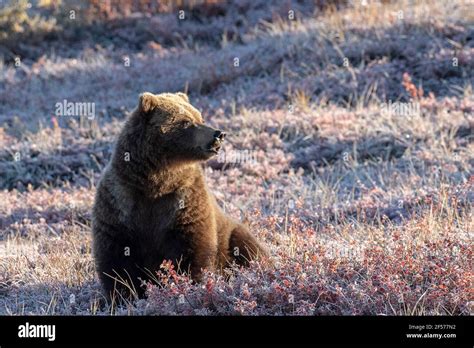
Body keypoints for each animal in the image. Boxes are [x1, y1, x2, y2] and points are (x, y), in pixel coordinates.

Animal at [91, 92, 268, 300]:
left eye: (200, 117)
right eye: (186, 121)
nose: (218, 134)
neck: (155, 183)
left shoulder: (185, 200)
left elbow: (193, 248)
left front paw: (191, 286)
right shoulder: (119, 200)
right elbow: (117, 258)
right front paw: (123, 296)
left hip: (232, 233)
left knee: (246, 247)